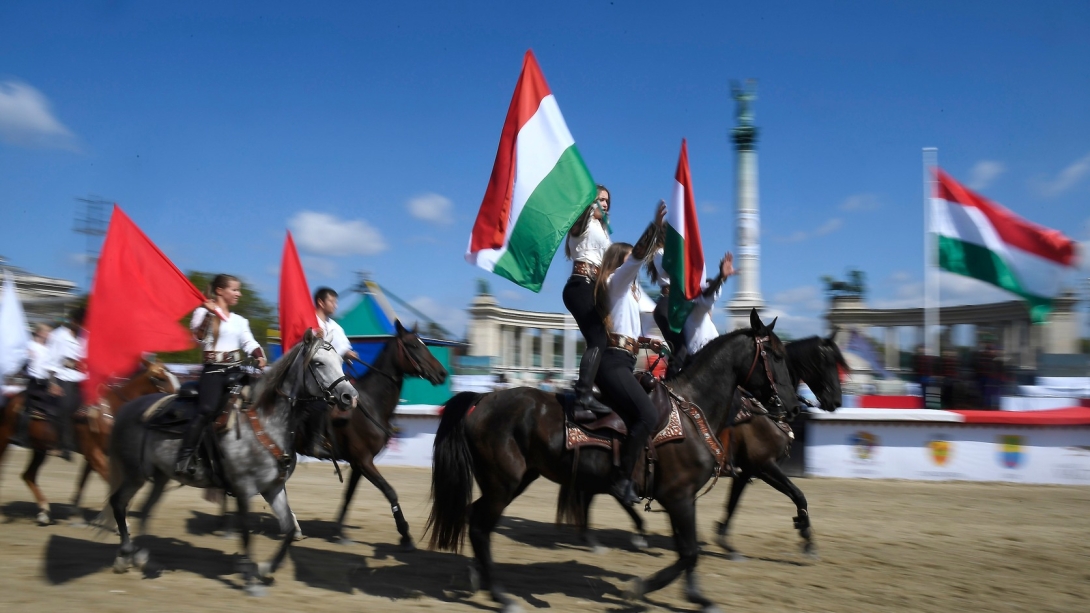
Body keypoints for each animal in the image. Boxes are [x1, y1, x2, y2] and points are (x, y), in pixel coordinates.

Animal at [0, 357, 178, 525]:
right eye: (160, 378)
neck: (111, 410)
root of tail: (13, 400)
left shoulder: (94, 455)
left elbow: (83, 481)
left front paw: (78, 514)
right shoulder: (94, 453)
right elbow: (112, 483)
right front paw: (120, 521)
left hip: (40, 448)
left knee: (28, 475)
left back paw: (44, 513)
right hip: (5, 439)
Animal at [331, 320, 451, 543]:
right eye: (414, 345)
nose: (442, 373)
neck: (370, 404)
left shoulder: (359, 463)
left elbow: (349, 494)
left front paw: (339, 531)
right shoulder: (363, 460)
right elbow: (390, 492)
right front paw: (405, 532)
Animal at [427, 309, 802, 610]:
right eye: (775, 354)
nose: (794, 406)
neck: (692, 410)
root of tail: (482, 399)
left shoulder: (684, 499)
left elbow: (689, 550)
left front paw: (697, 597)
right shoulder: (678, 497)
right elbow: (689, 552)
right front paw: (640, 589)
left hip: (514, 480)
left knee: (476, 518)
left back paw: (480, 577)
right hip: (503, 483)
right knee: (479, 526)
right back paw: (501, 596)